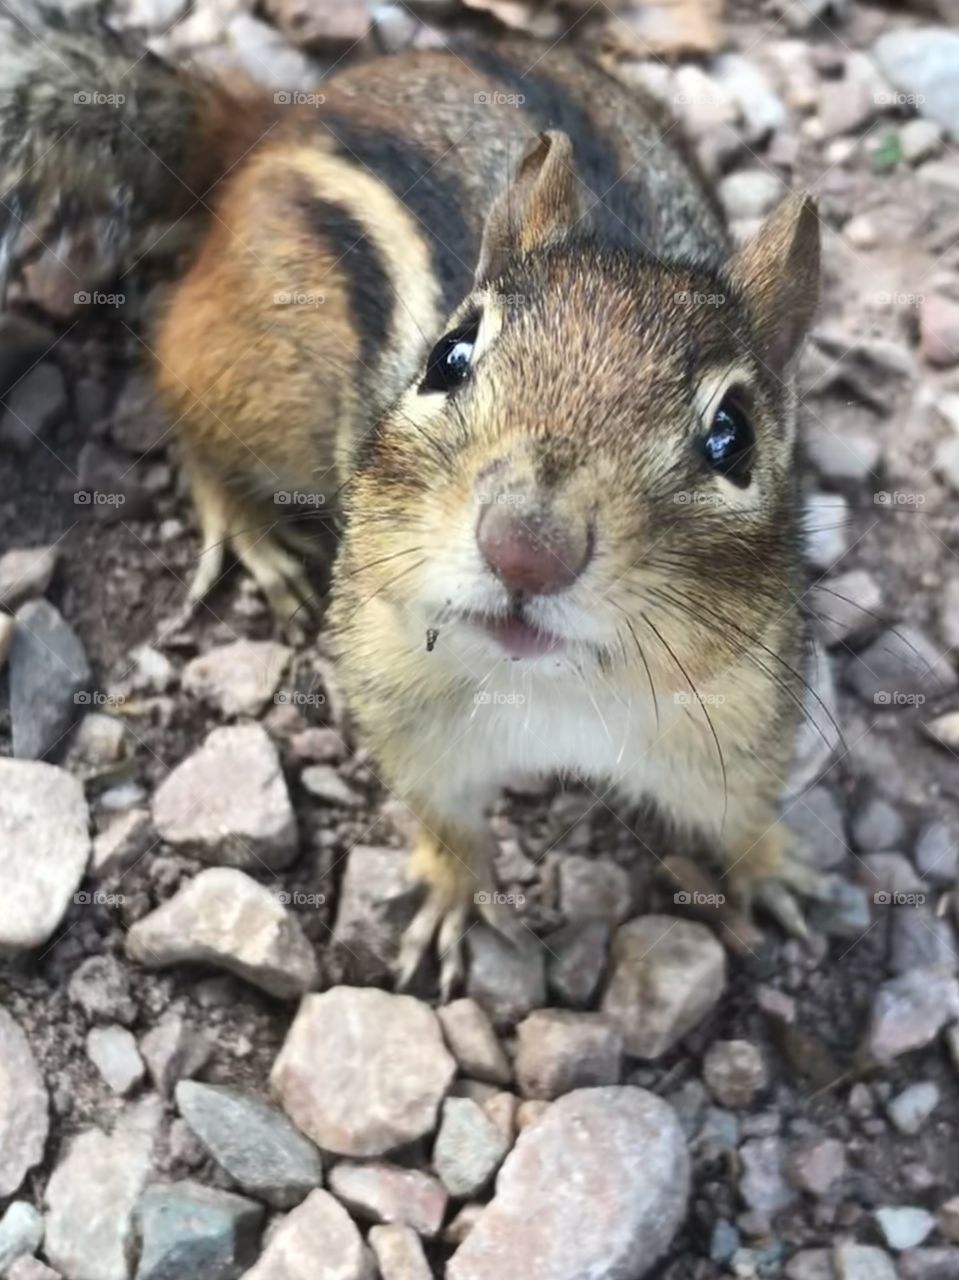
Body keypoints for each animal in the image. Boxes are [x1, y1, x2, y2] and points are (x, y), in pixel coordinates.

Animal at [1, 1, 822, 994]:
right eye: (449, 357)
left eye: (731, 435)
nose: (526, 547)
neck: (552, 693)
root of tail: (263, 127)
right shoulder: (402, 697)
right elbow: (442, 817)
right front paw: (452, 900)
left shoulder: (740, 721)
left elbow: (743, 813)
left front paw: (777, 871)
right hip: (254, 387)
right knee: (182, 402)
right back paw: (251, 533)